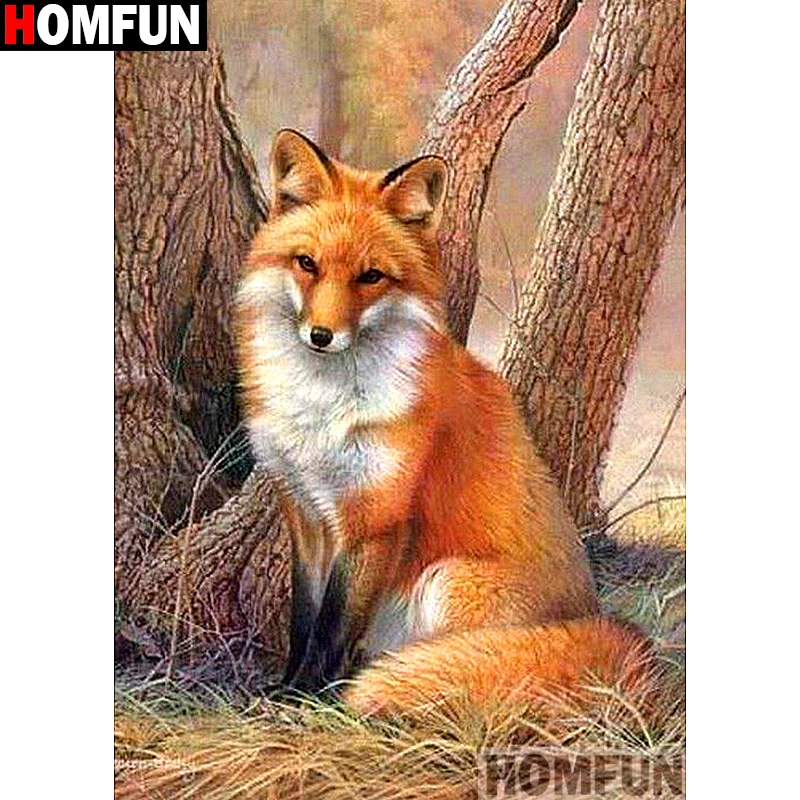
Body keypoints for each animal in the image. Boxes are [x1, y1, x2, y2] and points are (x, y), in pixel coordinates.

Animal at [235, 129, 654, 720]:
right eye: (307, 263)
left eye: (371, 276)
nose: (320, 335)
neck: (322, 408)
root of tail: (596, 618)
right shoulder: (305, 513)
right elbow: (304, 619)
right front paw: (285, 688)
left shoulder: (376, 518)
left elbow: (332, 628)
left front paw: (306, 700)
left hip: (446, 580)